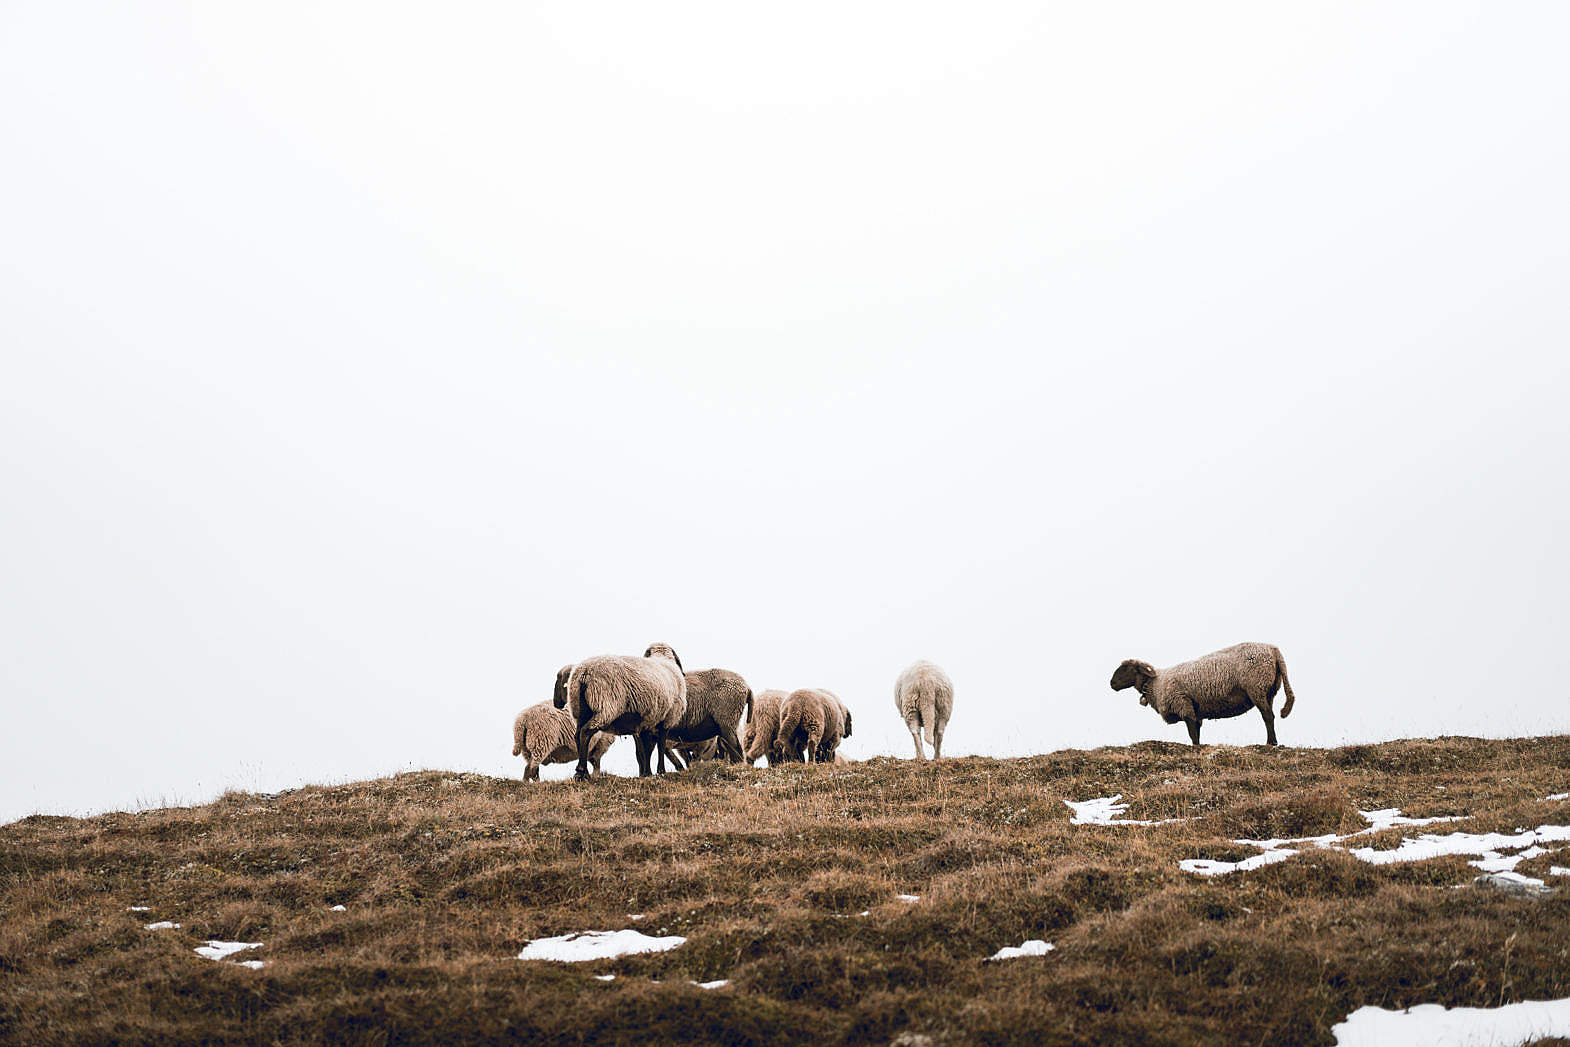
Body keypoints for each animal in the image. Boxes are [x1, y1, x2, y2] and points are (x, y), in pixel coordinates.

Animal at [558, 640, 693, 778]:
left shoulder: (646, 722)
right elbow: (660, 745)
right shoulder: (667, 719)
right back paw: (581, 771)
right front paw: (660, 771)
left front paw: (647, 773)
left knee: (577, 735)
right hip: (605, 706)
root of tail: (583, 673)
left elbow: (645, 750)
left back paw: (582, 772)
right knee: (586, 732)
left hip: (579, 709)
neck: (664, 660)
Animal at [1117, 640, 1299, 744]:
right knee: (1269, 715)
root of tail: (1274, 650)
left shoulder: (1183, 704)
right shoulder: (1194, 710)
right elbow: (1196, 732)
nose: (1112, 683)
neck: (1156, 683)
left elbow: (1192, 734)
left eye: (1127, 668)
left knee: (1268, 716)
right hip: (1269, 690)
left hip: (1256, 687)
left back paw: (1271, 743)